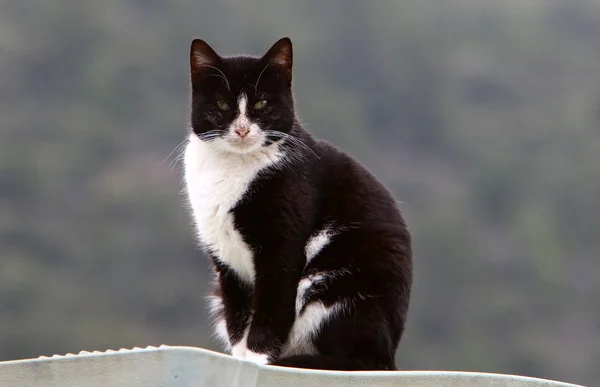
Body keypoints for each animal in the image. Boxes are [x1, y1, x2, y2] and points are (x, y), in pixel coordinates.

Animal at [180, 37, 410, 372]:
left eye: (262, 104)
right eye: (222, 105)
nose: (242, 129)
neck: (232, 167)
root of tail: (390, 354)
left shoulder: (282, 245)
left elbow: (270, 306)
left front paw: (257, 359)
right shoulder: (224, 257)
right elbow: (238, 315)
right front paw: (240, 358)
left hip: (337, 287)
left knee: (360, 360)